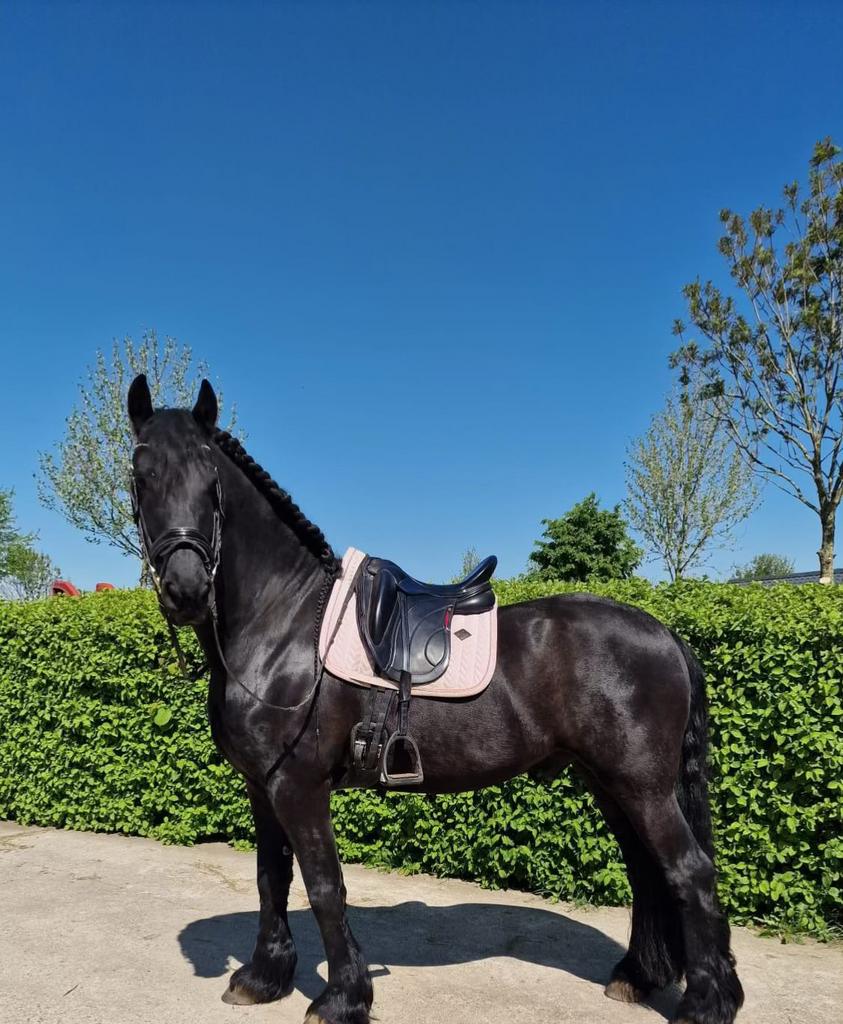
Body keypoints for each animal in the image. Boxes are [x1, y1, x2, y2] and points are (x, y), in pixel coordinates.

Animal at [126, 374, 743, 1024]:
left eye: (210, 478)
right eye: (141, 474)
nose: (187, 590)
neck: (285, 626)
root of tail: (666, 634)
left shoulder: (298, 786)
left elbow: (324, 887)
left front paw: (342, 998)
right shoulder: (261, 786)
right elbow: (273, 878)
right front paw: (263, 977)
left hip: (641, 787)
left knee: (689, 873)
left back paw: (706, 1003)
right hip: (611, 784)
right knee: (649, 874)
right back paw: (639, 977)